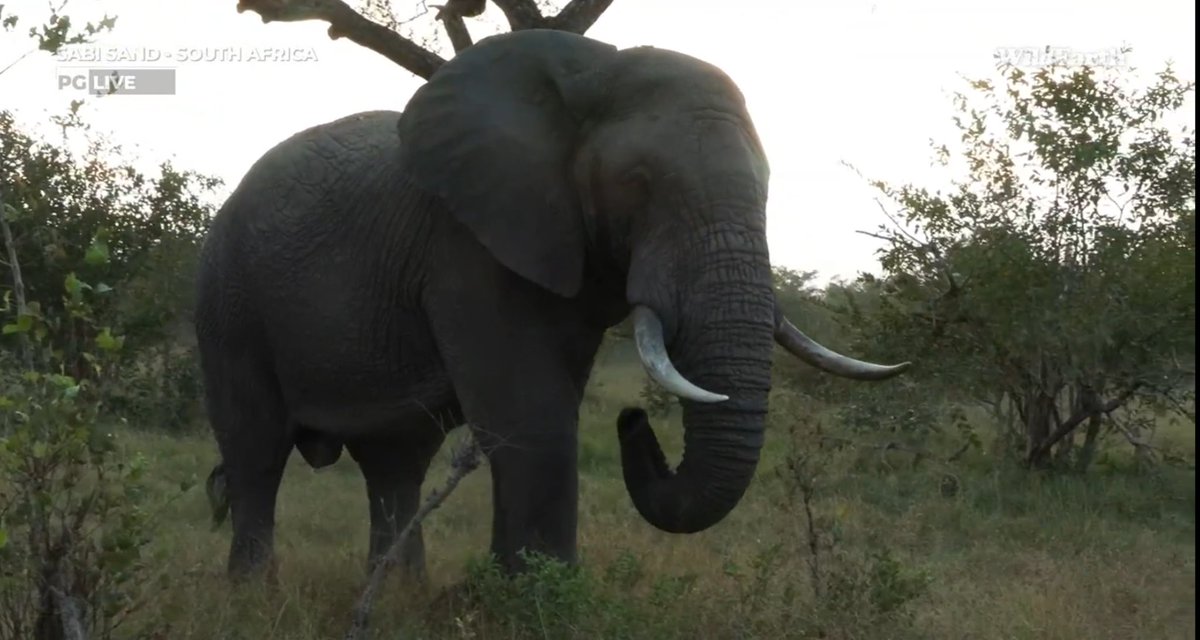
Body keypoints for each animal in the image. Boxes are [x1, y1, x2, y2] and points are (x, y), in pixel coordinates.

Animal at [194, 28, 907, 578]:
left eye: (766, 189)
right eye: (637, 184)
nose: (633, 421)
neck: (592, 75)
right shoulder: (469, 242)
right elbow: (533, 416)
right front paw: (532, 600)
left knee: (396, 462)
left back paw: (400, 597)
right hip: (228, 294)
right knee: (256, 452)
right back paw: (254, 600)